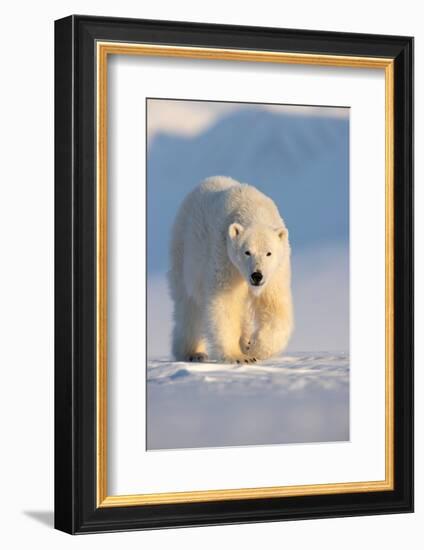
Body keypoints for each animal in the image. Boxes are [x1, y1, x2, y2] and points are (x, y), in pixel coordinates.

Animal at [167, 177, 294, 364]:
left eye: (269, 253)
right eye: (247, 251)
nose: (257, 276)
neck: (253, 208)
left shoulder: (276, 271)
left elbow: (275, 306)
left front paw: (254, 347)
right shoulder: (225, 257)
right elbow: (226, 303)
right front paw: (239, 357)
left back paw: (244, 340)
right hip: (185, 253)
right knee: (188, 305)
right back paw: (193, 352)